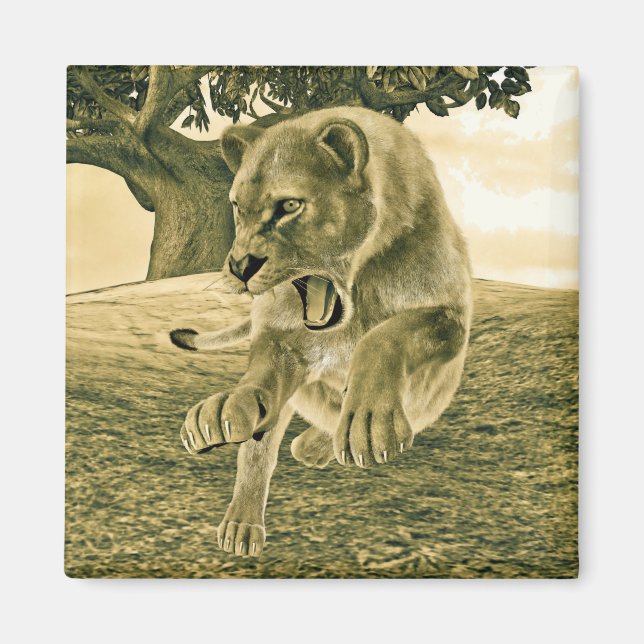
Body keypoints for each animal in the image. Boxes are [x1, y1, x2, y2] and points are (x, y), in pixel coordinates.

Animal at [169, 106, 472, 557]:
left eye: (290, 205)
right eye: (238, 207)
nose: (240, 267)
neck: (357, 290)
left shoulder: (450, 318)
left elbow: (385, 335)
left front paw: (368, 423)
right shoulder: (280, 337)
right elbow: (260, 389)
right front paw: (226, 409)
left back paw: (316, 443)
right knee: (261, 449)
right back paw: (242, 524)